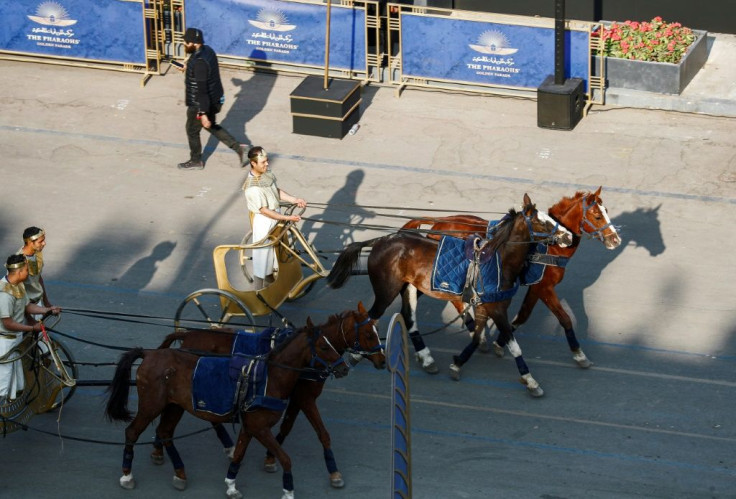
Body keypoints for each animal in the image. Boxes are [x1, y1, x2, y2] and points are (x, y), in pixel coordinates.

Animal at [106, 312, 382, 499]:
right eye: (369, 334)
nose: (343, 368)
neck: (272, 374)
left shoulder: (264, 419)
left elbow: (256, 445)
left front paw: (234, 481)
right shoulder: (289, 407)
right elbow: (302, 445)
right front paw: (293, 482)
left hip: (175, 406)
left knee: (165, 432)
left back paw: (175, 467)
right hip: (151, 406)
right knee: (133, 432)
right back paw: (127, 475)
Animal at [324, 193, 572, 396]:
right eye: (543, 221)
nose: (568, 236)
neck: (499, 259)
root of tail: (380, 240)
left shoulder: (486, 306)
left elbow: (476, 336)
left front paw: (458, 362)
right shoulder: (497, 309)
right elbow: (513, 344)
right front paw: (530, 381)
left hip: (410, 288)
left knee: (408, 318)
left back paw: (426, 358)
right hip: (386, 291)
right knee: (371, 317)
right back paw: (359, 353)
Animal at [402, 187, 620, 368]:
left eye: (606, 210)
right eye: (597, 216)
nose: (616, 239)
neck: (551, 246)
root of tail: (439, 221)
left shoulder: (536, 287)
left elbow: (522, 315)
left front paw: (500, 342)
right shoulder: (544, 287)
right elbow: (564, 319)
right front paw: (579, 354)